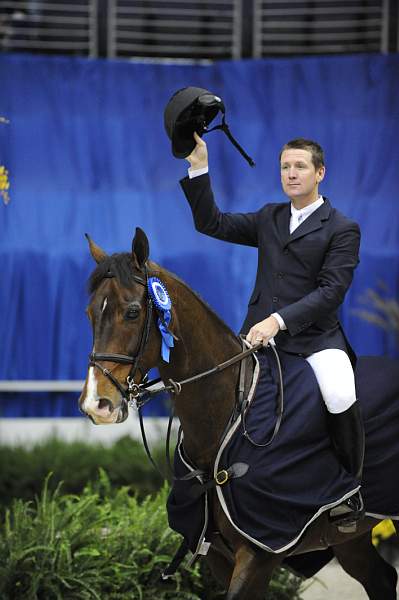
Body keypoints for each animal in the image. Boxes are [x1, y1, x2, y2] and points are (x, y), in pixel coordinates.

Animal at [79, 227, 399, 596]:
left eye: (132, 312)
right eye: (89, 313)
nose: (96, 404)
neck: (226, 415)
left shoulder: (260, 552)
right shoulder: (219, 556)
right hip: (349, 538)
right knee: (380, 578)